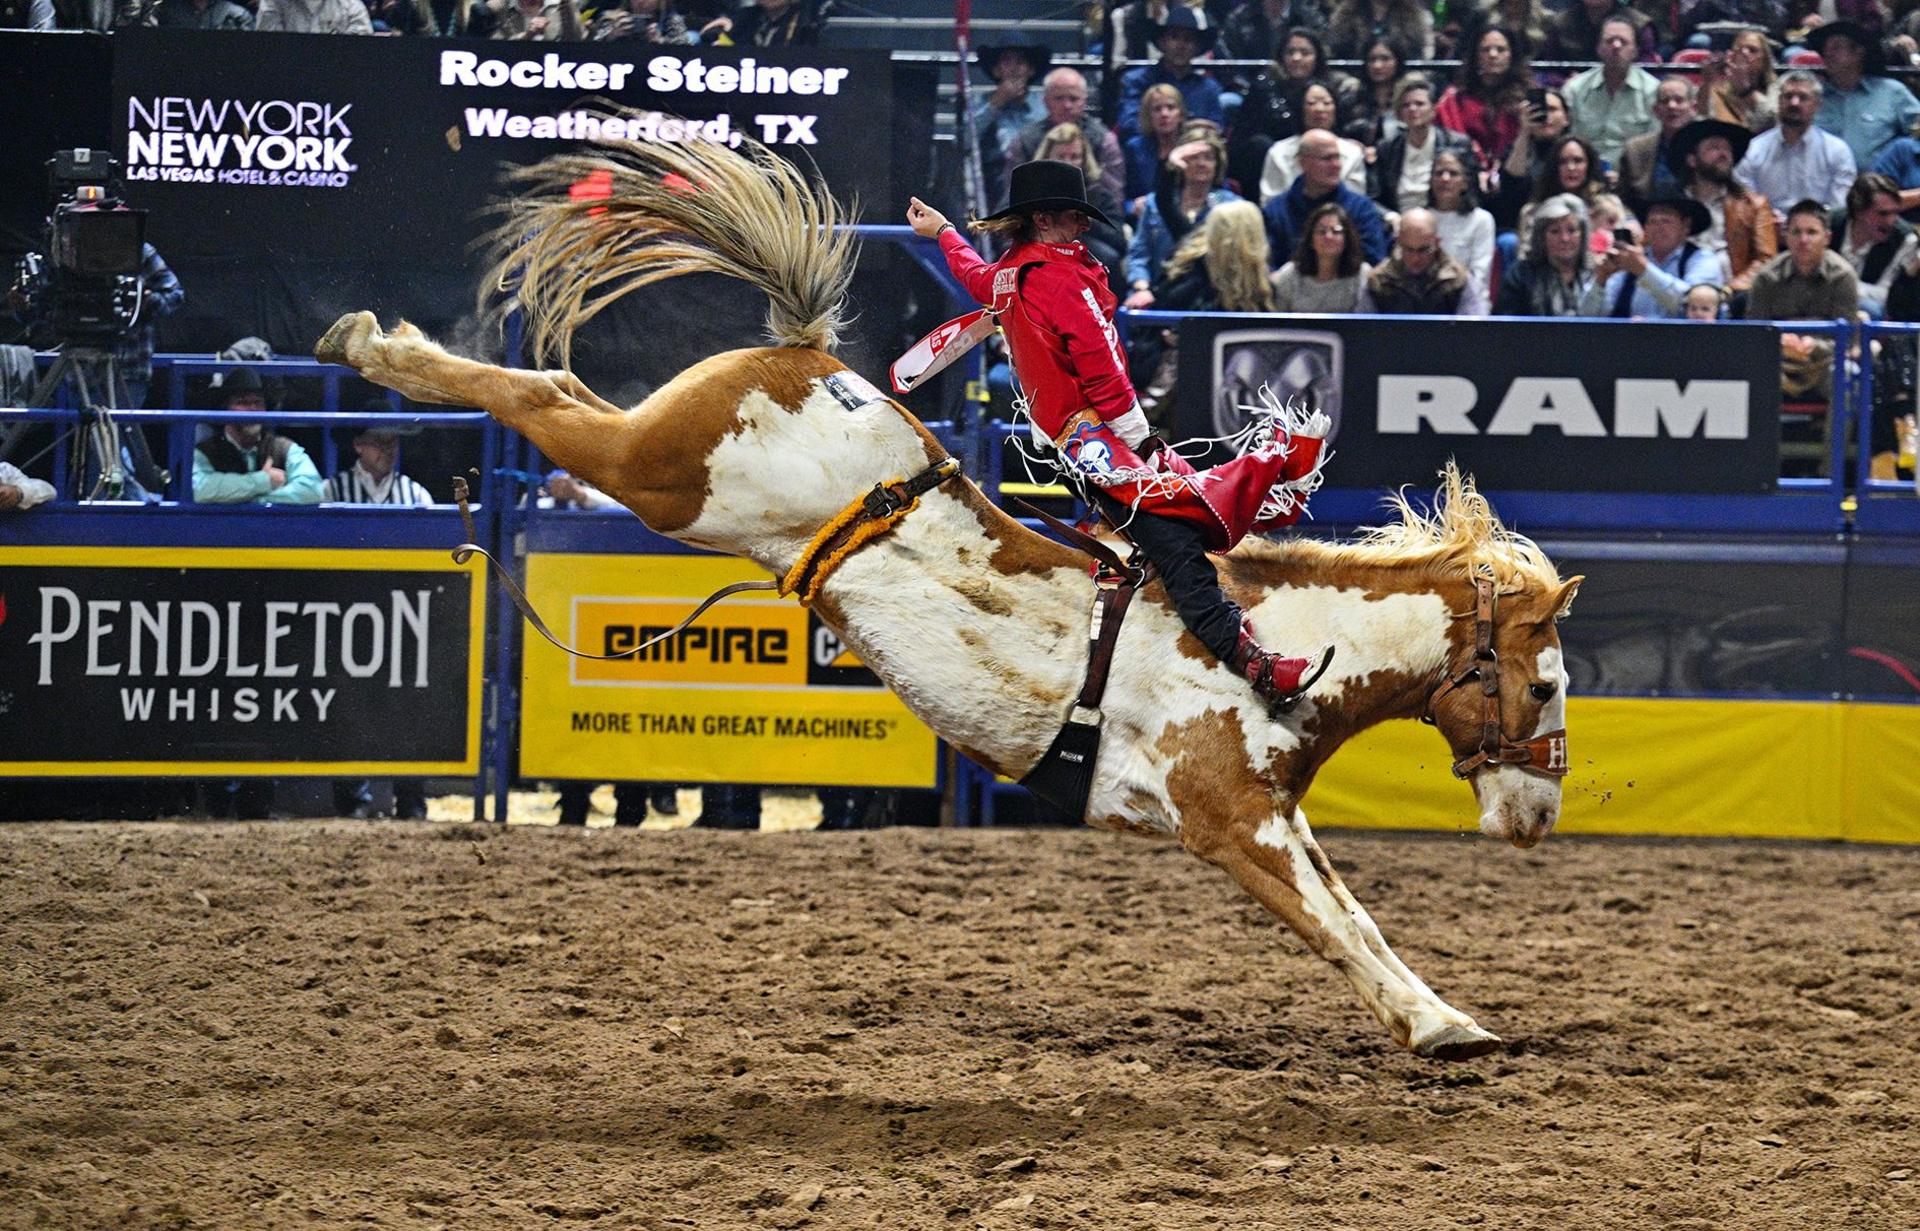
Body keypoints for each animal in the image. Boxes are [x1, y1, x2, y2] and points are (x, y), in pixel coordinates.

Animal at [318, 132, 1574, 1060]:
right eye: (1546, 683)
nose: (1541, 818)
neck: (1277, 639)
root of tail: (807, 357)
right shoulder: (1231, 819)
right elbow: (1333, 925)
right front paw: (1435, 1026)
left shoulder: (1278, 811)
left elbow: (1355, 912)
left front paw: (1449, 1013)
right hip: (665, 477)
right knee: (540, 395)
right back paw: (370, 341)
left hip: (654, 459)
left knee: (562, 386)